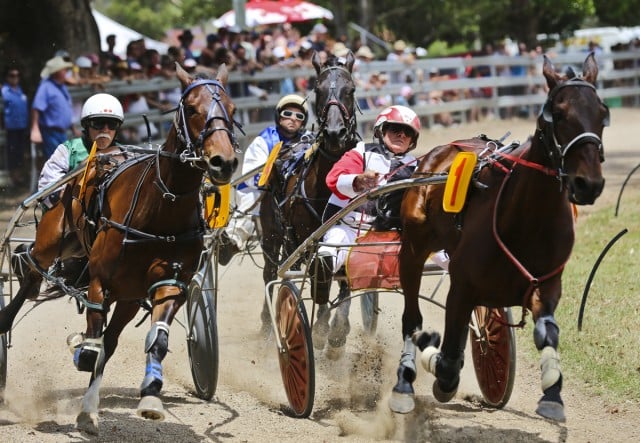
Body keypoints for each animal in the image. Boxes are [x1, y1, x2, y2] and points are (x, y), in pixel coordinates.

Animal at [0, 64, 239, 436]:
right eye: (191, 108)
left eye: (232, 109)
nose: (222, 161)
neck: (161, 209)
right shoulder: (100, 283)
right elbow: (92, 343)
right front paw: (81, 350)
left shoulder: (169, 285)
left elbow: (154, 340)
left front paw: (151, 396)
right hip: (49, 243)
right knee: (30, 279)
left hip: (129, 296)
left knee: (110, 341)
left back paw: (90, 406)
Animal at [260, 51, 360, 336]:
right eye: (318, 90)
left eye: (351, 89)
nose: (335, 133)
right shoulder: (308, 243)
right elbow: (319, 286)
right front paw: (321, 328)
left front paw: (338, 329)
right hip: (272, 237)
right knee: (271, 273)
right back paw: (268, 325)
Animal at [388, 53, 608, 422]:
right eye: (559, 113)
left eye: (603, 113)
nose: (588, 184)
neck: (527, 222)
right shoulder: (462, 286)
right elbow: (446, 360)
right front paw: (435, 360)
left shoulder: (546, 286)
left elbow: (547, 333)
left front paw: (552, 394)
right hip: (413, 249)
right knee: (411, 317)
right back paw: (404, 382)